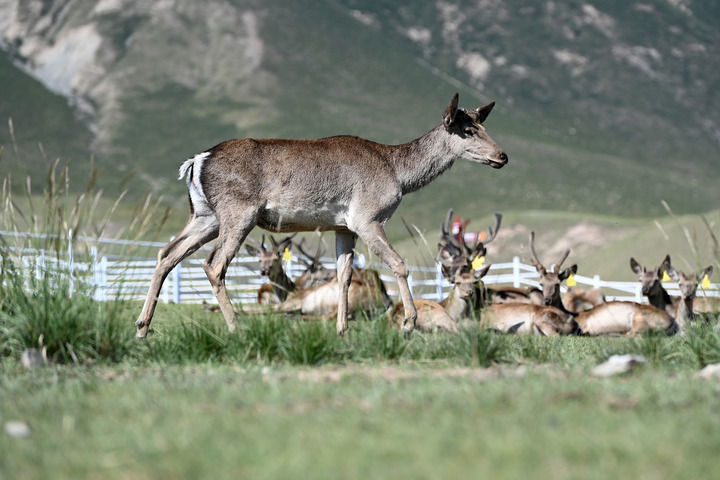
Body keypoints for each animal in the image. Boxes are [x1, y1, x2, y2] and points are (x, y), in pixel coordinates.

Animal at [134, 92, 508, 337]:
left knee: (167, 252)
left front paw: (343, 330)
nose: (502, 156)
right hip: (238, 213)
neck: (399, 174)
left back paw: (142, 326)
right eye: (467, 130)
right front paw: (409, 323)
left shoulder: (343, 227)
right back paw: (237, 327)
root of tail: (196, 161)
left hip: (204, 216)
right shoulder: (367, 217)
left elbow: (344, 275)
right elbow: (399, 264)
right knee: (213, 264)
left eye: (482, 124)